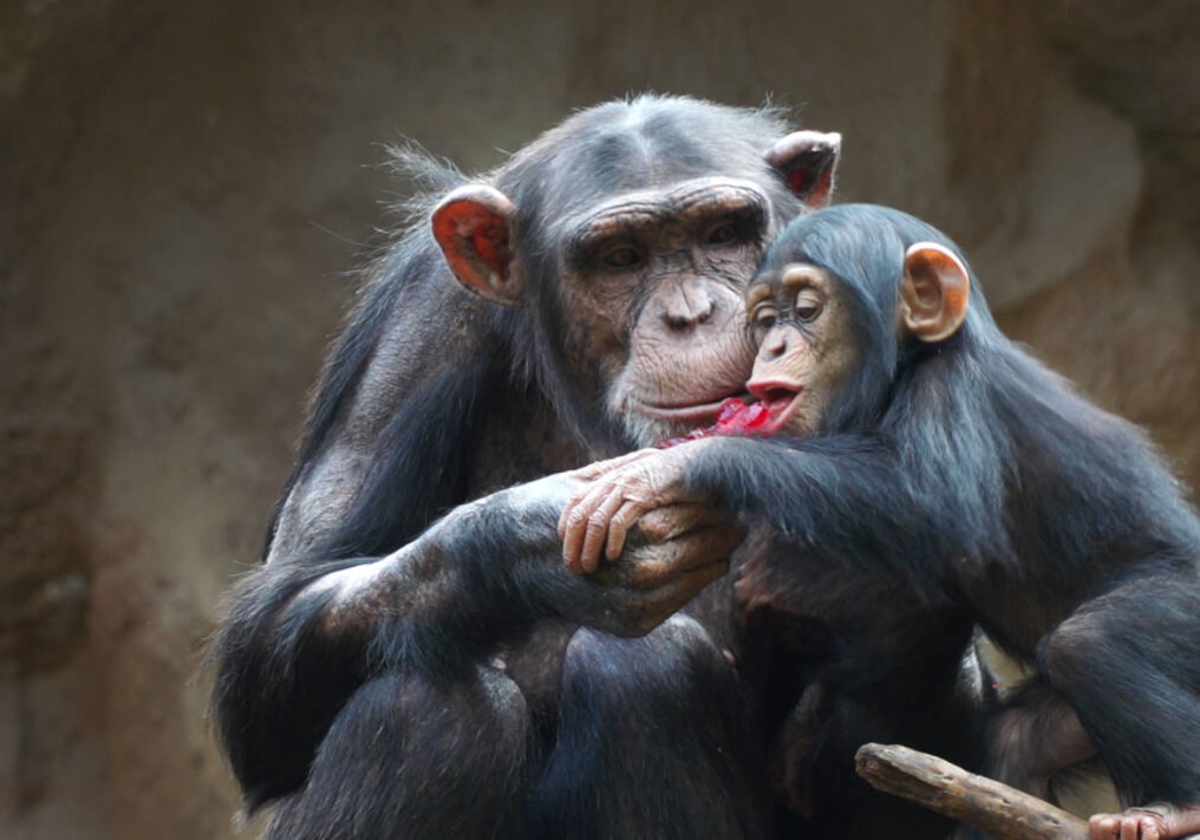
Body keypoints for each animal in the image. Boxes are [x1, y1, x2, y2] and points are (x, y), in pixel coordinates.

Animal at [208, 100, 844, 840]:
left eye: (724, 234)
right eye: (621, 259)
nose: (690, 313)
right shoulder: (418, 324)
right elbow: (274, 633)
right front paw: (532, 547)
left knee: (638, 666)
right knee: (432, 703)